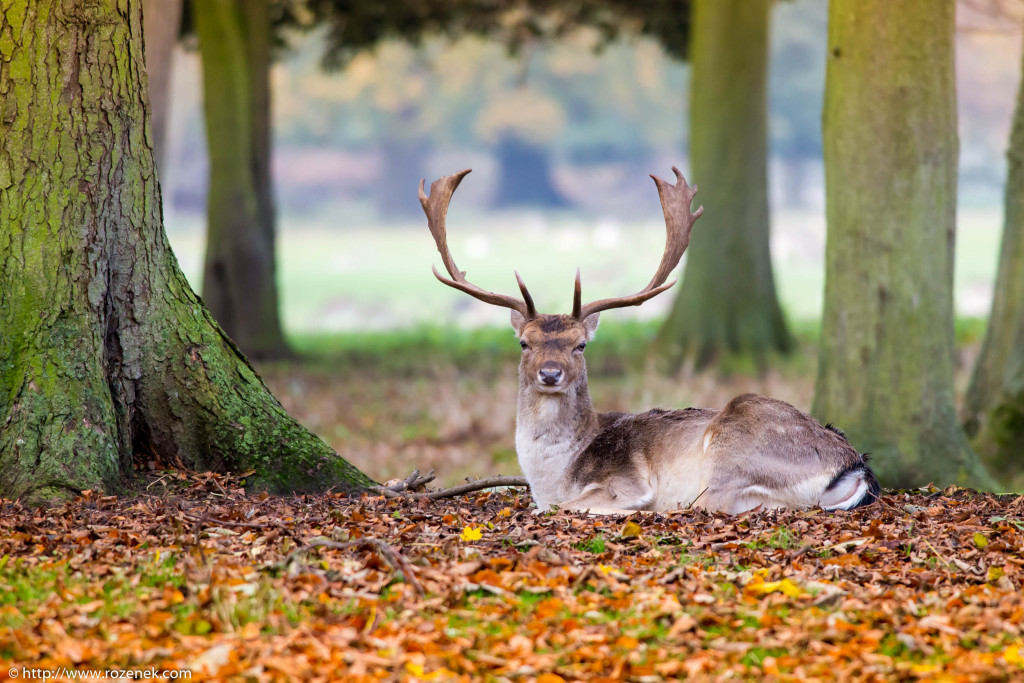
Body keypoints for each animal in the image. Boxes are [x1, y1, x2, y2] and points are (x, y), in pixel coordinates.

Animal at [417, 167, 880, 516]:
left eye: (580, 344)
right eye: (524, 343)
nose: (550, 374)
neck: (554, 475)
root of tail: (854, 465)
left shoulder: (624, 481)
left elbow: (567, 507)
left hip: (732, 451)